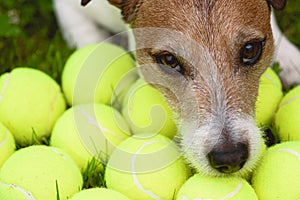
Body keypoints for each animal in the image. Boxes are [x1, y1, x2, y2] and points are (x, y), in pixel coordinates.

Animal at [54, 0, 300, 178]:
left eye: (250, 49)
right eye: (170, 60)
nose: (229, 158)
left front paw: (289, 59)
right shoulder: (68, 8)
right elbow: (91, 42)